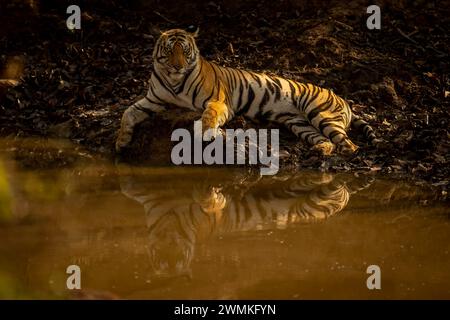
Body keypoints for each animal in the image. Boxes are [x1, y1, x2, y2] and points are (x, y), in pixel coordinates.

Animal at [114, 27, 378, 156]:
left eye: (185, 51)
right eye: (170, 51)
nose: (178, 65)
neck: (173, 80)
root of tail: (343, 98)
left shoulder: (219, 101)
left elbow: (209, 115)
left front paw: (206, 134)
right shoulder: (152, 100)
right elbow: (127, 113)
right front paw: (121, 142)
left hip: (319, 113)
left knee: (348, 143)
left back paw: (346, 152)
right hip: (299, 123)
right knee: (325, 140)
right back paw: (320, 150)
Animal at [118, 169, 372, 278]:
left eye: (179, 259)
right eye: (163, 260)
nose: (171, 263)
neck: (169, 225)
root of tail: (345, 199)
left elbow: (208, 198)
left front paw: (211, 192)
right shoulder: (151, 203)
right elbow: (130, 190)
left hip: (313, 200)